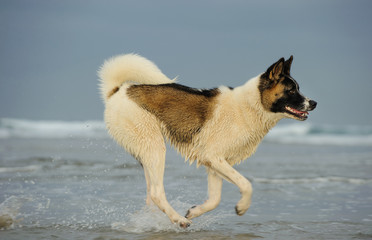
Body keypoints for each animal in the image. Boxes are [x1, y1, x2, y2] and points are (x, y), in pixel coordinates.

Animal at [98, 53, 316, 228]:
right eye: (291, 90)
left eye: (298, 88)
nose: (313, 103)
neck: (250, 105)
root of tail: (117, 91)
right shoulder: (214, 157)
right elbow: (246, 184)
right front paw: (242, 207)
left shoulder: (215, 163)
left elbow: (215, 199)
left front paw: (194, 211)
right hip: (154, 147)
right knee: (157, 193)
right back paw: (179, 220)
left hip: (146, 155)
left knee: (150, 195)